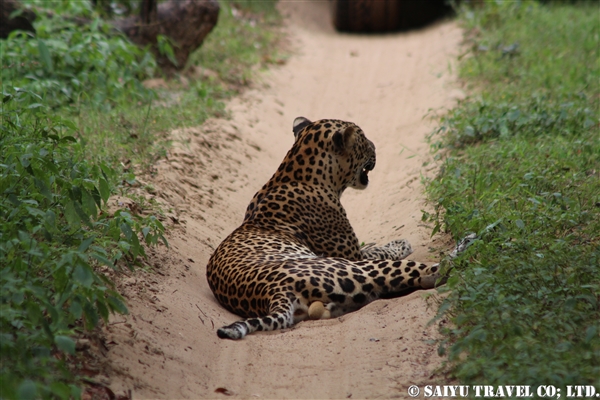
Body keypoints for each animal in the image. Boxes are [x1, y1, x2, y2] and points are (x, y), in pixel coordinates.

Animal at [206, 117, 454, 340]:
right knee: (432, 273)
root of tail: (272, 292)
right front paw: (400, 243)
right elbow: (379, 249)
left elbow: (373, 245)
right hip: (353, 267)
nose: (375, 146)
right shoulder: (353, 254)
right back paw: (462, 249)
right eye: (364, 140)